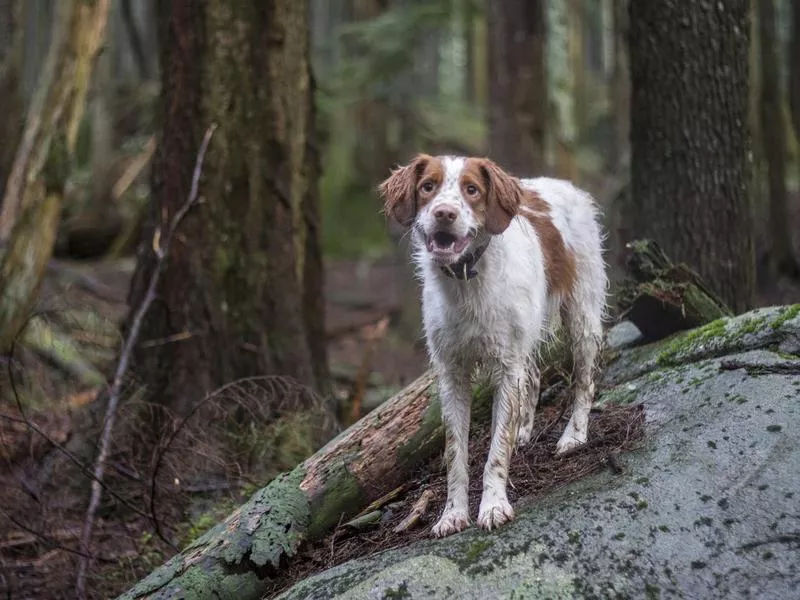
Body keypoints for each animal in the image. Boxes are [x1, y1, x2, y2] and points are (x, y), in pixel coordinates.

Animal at [382, 155, 608, 540]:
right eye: (428, 186)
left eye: (472, 189)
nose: (444, 213)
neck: (466, 280)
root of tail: (564, 184)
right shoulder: (452, 373)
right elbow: (455, 454)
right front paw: (453, 514)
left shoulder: (506, 366)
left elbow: (496, 450)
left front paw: (493, 506)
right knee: (533, 376)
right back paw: (524, 430)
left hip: (581, 315)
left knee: (584, 380)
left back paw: (573, 435)